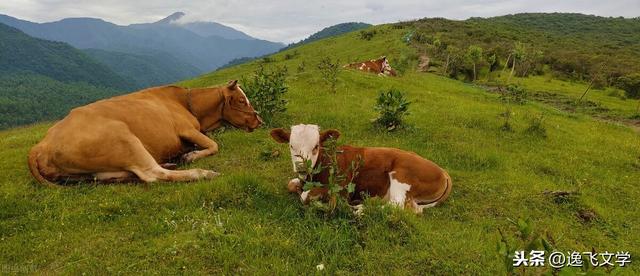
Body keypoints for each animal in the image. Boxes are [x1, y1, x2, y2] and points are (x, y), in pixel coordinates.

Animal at [27, 81, 262, 187]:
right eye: (241, 101)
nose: (259, 120)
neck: (188, 104)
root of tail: (41, 144)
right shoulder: (187, 130)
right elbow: (214, 145)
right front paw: (190, 155)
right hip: (124, 138)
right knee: (153, 174)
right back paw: (203, 173)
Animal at [270, 124, 450, 213]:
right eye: (291, 146)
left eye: (315, 147)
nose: (301, 166)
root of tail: (443, 172)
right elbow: (291, 184)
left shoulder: (341, 189)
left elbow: (305, 196)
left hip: (402, 176)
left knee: (397, 206)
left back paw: (361, 207)